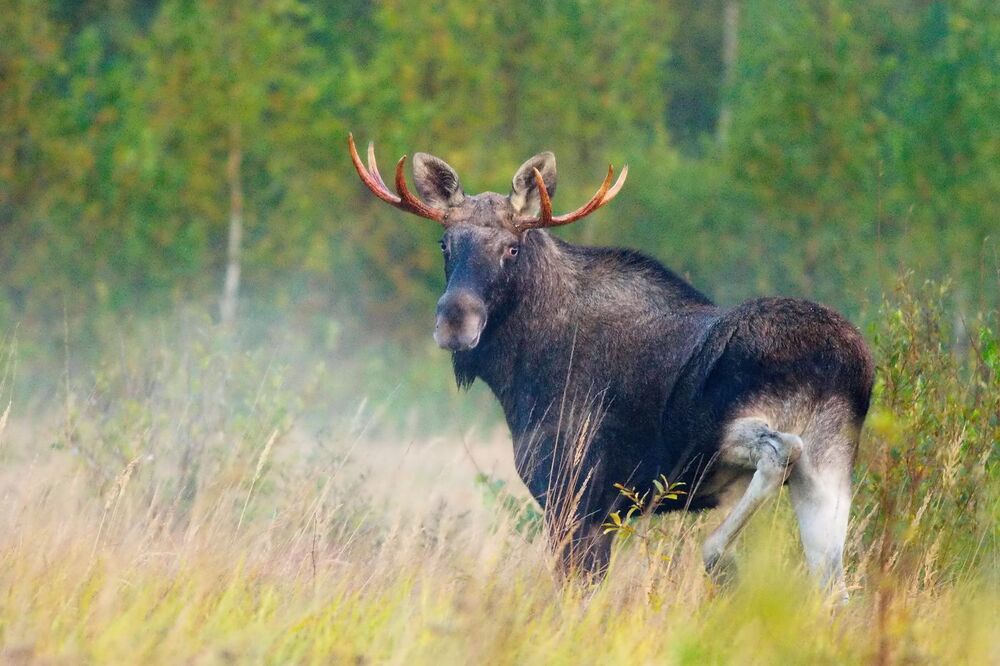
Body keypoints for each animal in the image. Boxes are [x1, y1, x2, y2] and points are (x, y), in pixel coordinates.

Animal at [348, 134, 875, 601]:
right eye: (445, 244)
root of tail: (851, 363)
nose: (455, 320)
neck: (517, 375)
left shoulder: (575, 498)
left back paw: (718, 555)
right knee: (833, 581)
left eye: (512, 248)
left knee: (780, 451)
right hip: (830, 462)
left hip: (724, 435)